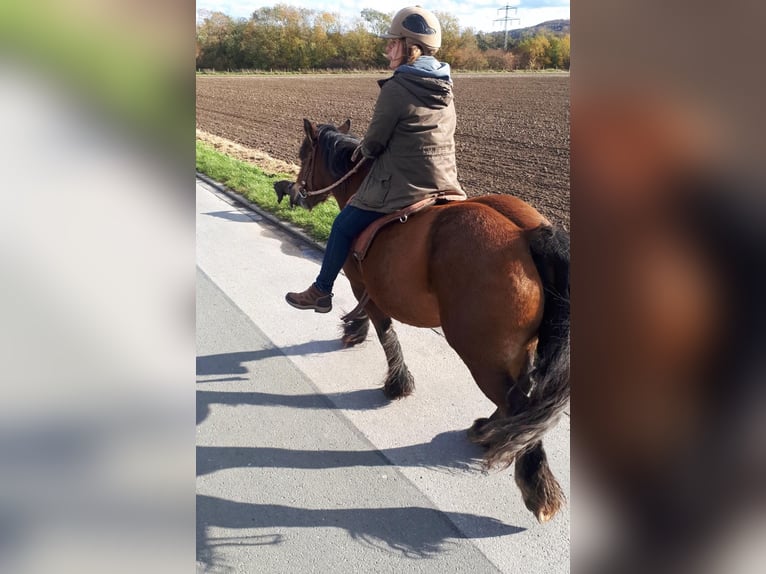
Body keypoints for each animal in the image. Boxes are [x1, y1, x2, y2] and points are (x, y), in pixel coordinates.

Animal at [276, 119, 568, 524]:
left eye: (305, 154)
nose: (295, 192)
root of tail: (526, 234)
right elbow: (372, 318)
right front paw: (355, 332)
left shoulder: (360, 280)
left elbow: (384, 330)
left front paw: (395, 380)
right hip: (516, 351)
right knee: (520, 397)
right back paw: (491, 431)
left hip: (481, 356)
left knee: (518, 405)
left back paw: (536, 487)